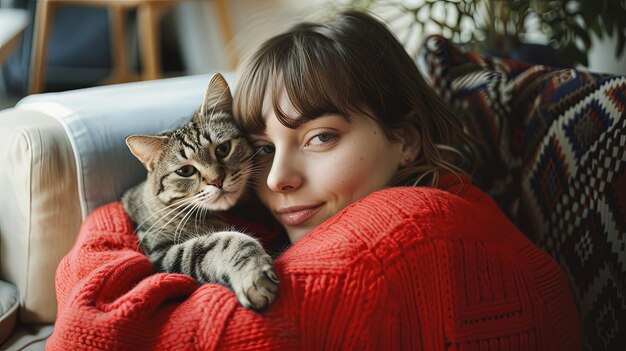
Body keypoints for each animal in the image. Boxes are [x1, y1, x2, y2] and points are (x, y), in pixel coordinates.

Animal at [120, 74, 276, 310]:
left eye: (223, 149)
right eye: (185, 171)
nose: (217, 181)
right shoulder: (163, 253)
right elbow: (225, 241)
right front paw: (254, 274)